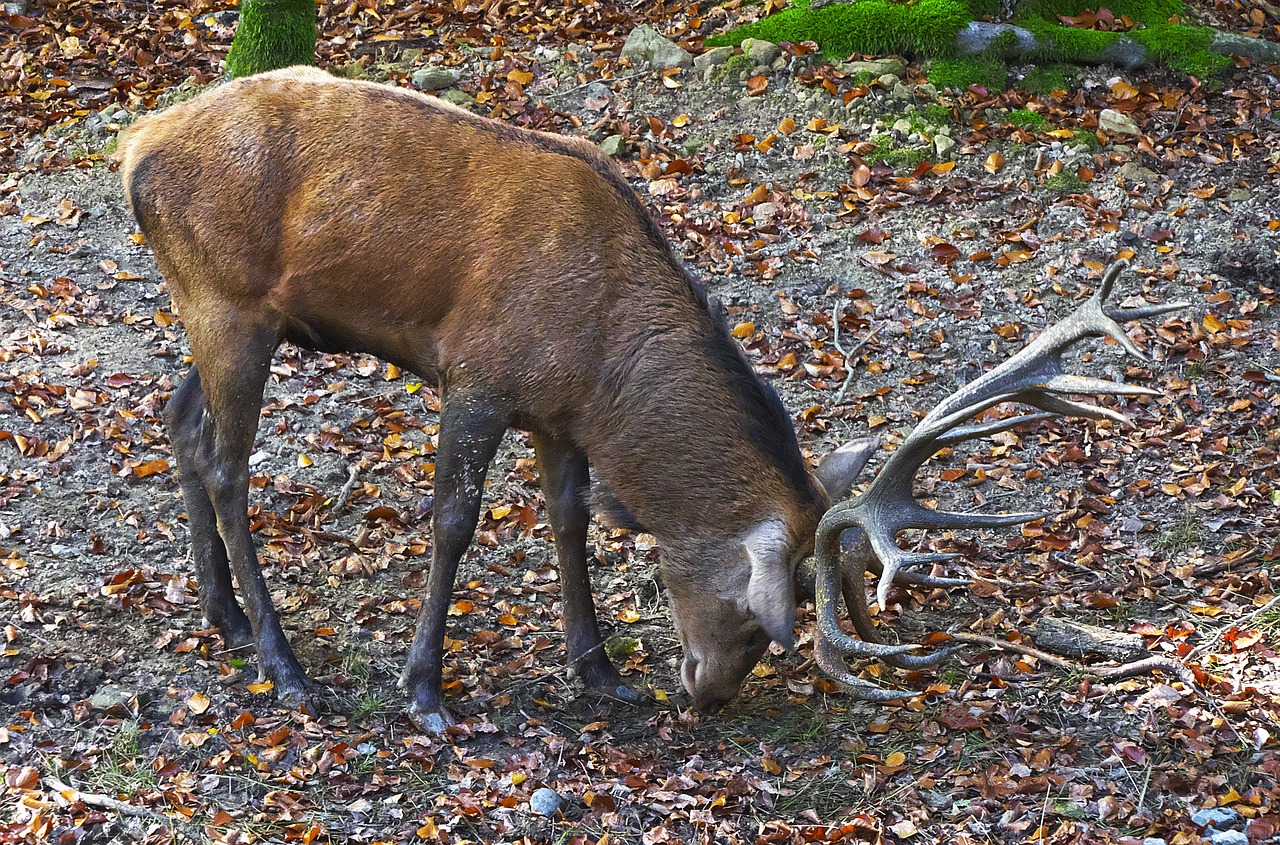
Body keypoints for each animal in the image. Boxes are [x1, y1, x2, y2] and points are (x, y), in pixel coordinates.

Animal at [120, 67, 1177, 727]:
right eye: (766, 618)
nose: (703, 696)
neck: (602, 359)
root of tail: (134, 144)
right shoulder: (478, 375)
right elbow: (455, 521)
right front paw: (426, 690)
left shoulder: (555, 413)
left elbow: (570, 520)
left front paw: (602, 671)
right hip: (226, 303)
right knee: (229, 464)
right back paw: (285, 664)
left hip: (229, 312)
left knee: (182, 425)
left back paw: (225, 619)